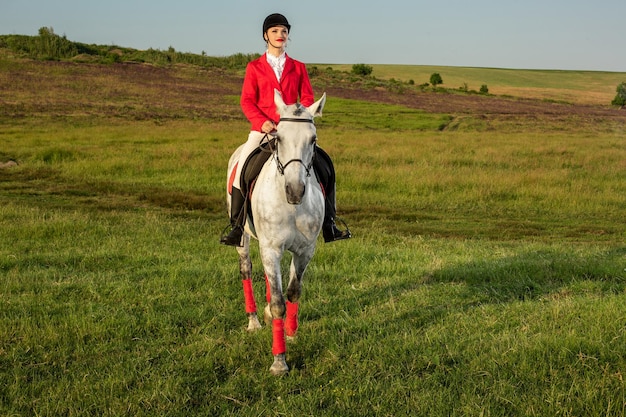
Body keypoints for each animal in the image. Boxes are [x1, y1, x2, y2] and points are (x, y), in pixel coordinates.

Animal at [225, 90, 326, 374]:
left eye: (313, 139)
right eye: (278, 137)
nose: (295, 190)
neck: (291, 205)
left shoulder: (304, 251)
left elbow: (292, 292)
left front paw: (292, 334)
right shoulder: (270, 249)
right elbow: (279, 303)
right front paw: (279, 361)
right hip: (244, 239)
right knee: (247, 270)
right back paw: (254, 321)